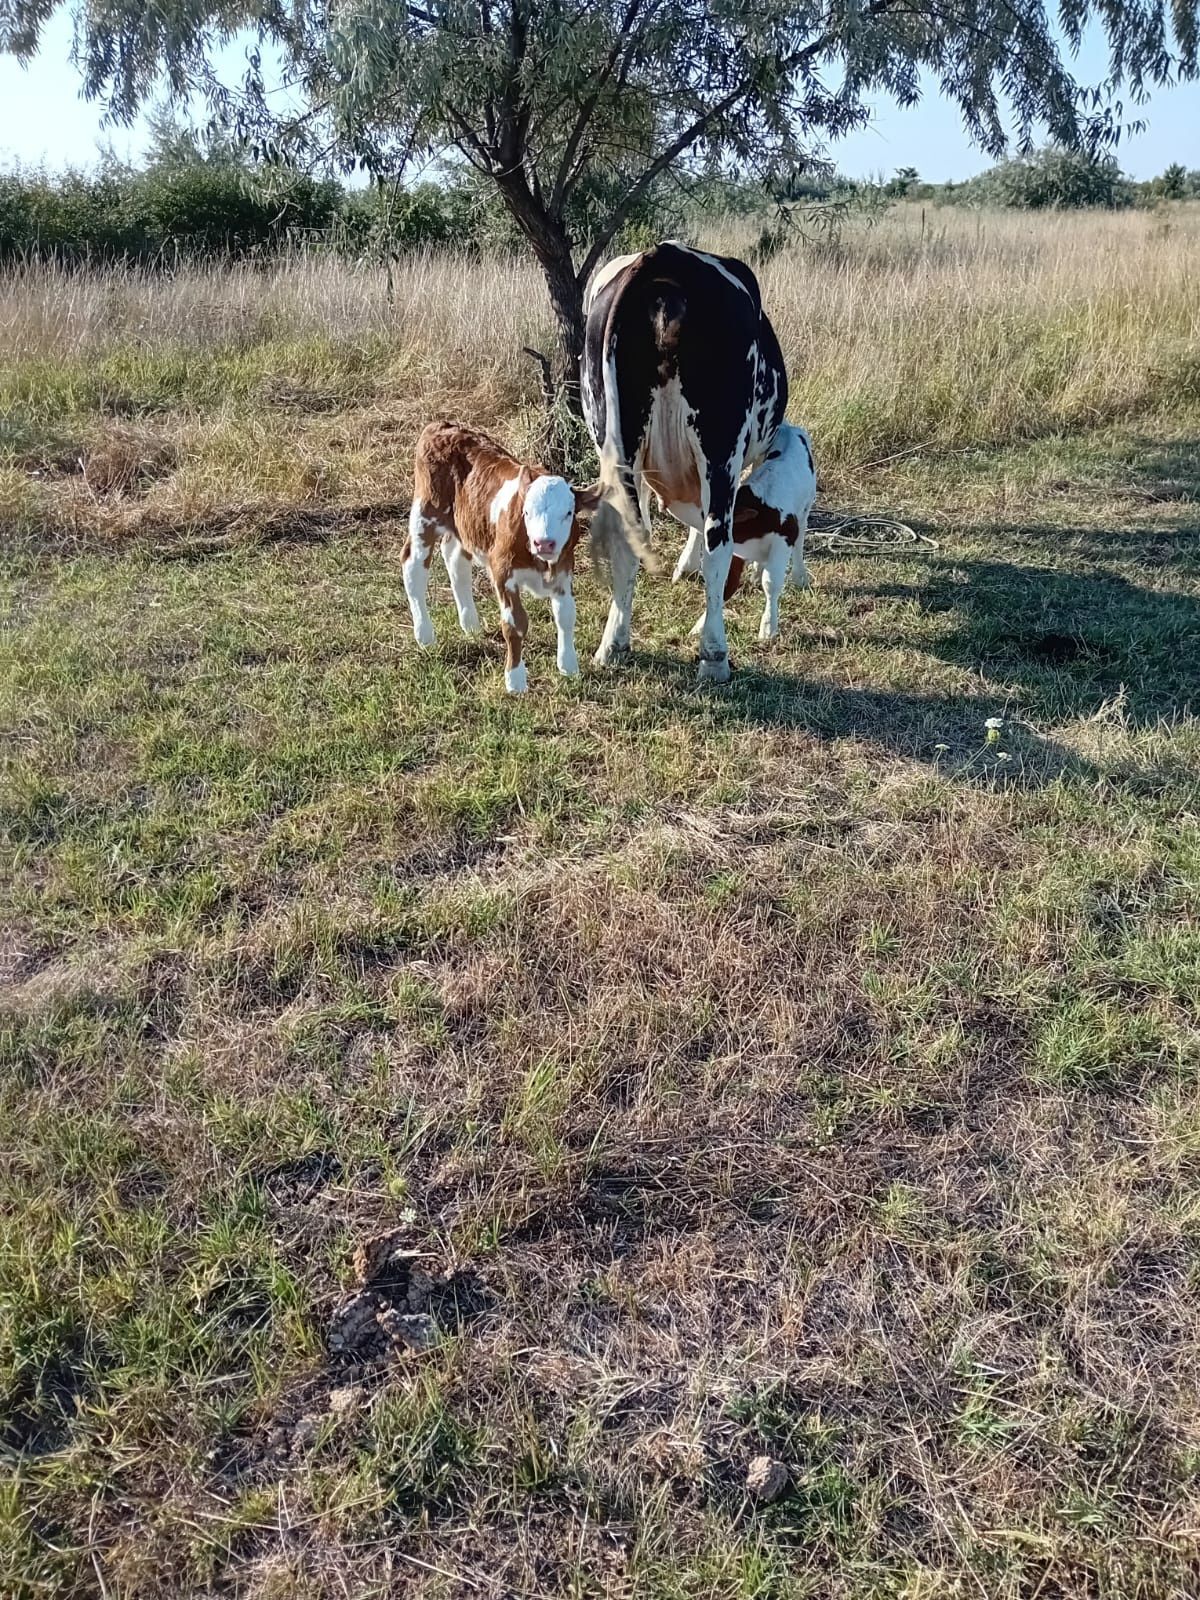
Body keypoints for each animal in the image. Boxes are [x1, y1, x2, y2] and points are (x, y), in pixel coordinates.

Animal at [404, 422, 601, 691]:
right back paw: (424, 634)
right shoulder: (502, 570)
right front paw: (515, 680)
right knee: (412, 566)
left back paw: (470, 625)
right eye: (526, 512)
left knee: (455, 560)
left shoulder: (564, 569)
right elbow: (515, 624)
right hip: (426, 514)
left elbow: (566, 616)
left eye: (568, 513)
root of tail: (443, 426)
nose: (544, 542)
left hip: (465, 524)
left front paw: (568, 667)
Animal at [582, 240, 790, 678]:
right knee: (718, 544)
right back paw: (714, 656)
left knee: (627, 541)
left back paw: (613, 644)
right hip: (721, 446)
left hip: (613, 439)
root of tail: (664, 257)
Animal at [678, 428, 819, 646]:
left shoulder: (784, 539)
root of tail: (790, 428)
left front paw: (768, 627)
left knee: (801, 538)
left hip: (806, 506)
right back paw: (756, 571)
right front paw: (700, 626)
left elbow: (771, 582)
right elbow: (726, 586)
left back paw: (800, 576)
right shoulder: (736, 552)